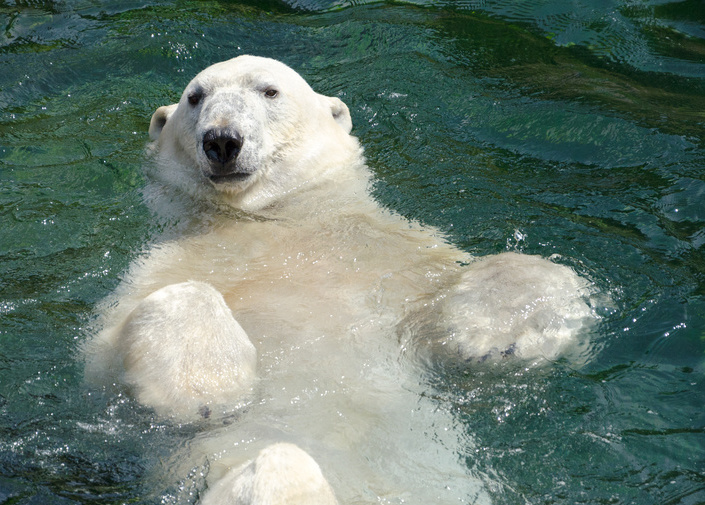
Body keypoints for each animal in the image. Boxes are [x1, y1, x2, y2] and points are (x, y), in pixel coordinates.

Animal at [85, 55, 596, 504]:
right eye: (195, 97)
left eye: (269, 90)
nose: (222, 140)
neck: (272, 222)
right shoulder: (160, 266)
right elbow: (107, 351)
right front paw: (206, 387)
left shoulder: (390, 258)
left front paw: (495, 334)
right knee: (280, 465)